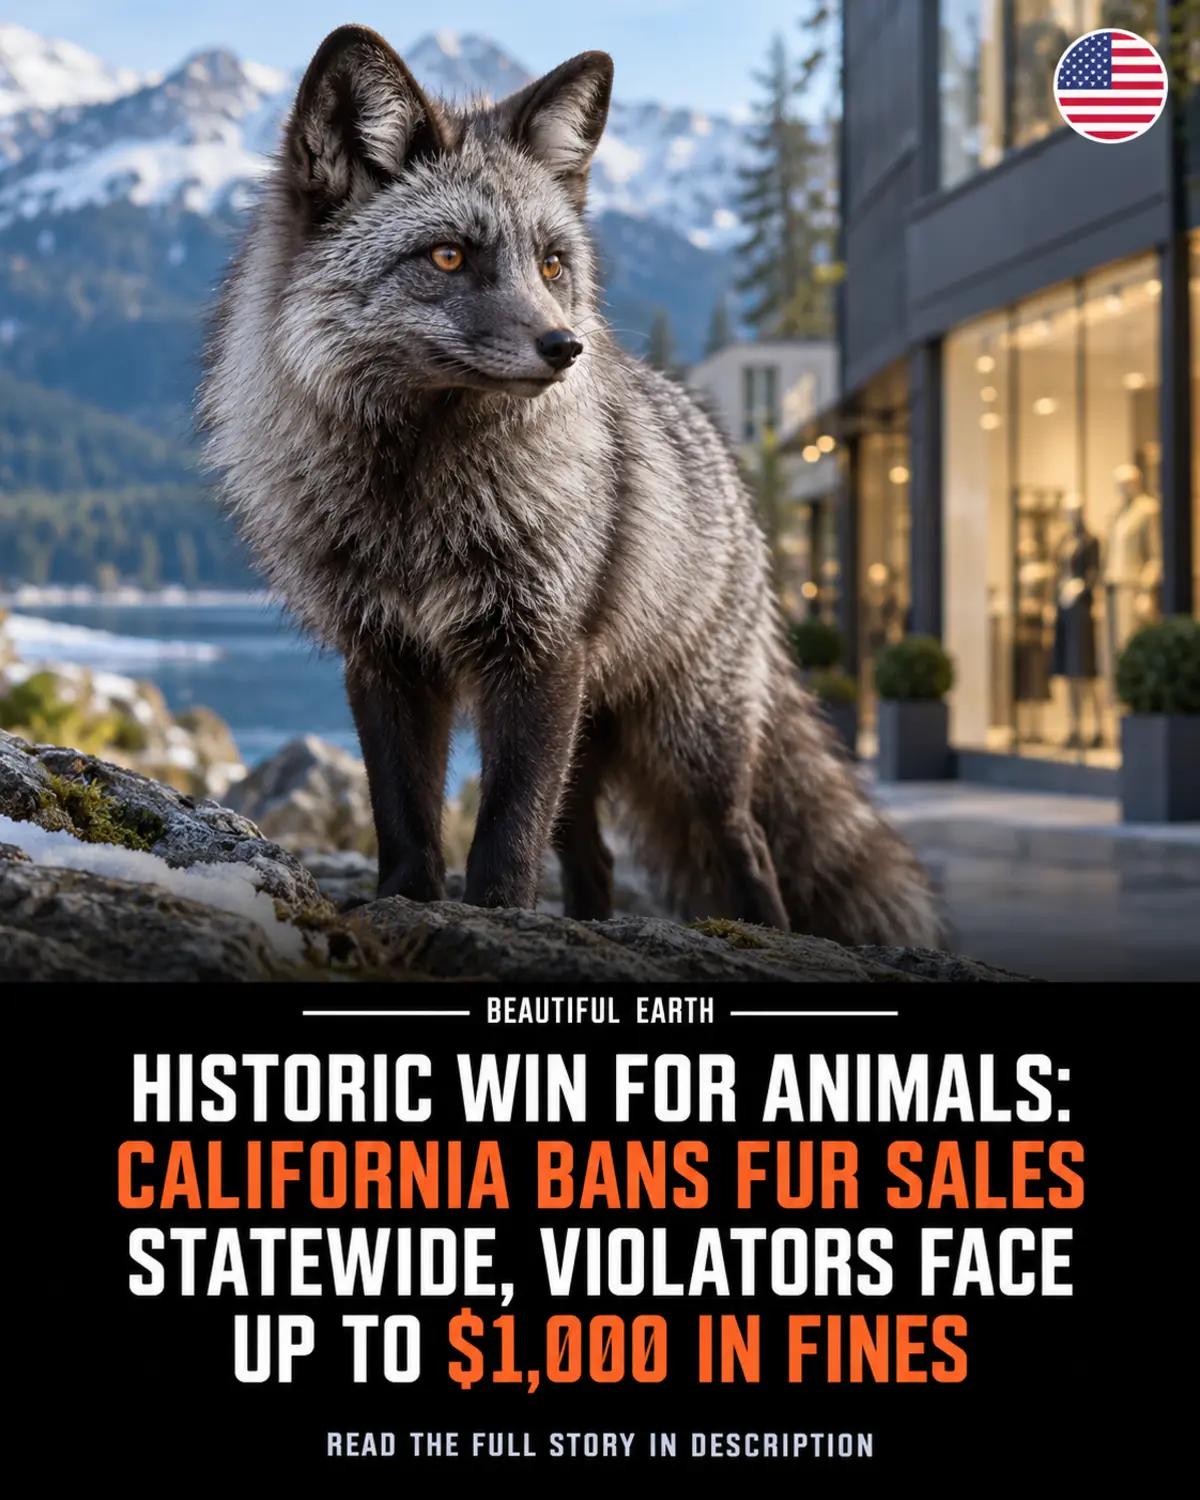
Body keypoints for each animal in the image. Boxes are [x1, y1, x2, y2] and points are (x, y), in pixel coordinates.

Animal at [200, 24, 943, 949]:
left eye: (552, 264)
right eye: (449, 255)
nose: (565, 347)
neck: (418, 506)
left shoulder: (538, 651)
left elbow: (508, 830)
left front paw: (491, 918)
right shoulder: (384, 658)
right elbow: (404, 822)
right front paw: (404, 908)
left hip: (690, 738)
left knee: (748, 846)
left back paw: (768, 927)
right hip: (589, 743)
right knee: (594, 860)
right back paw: (590, 925)